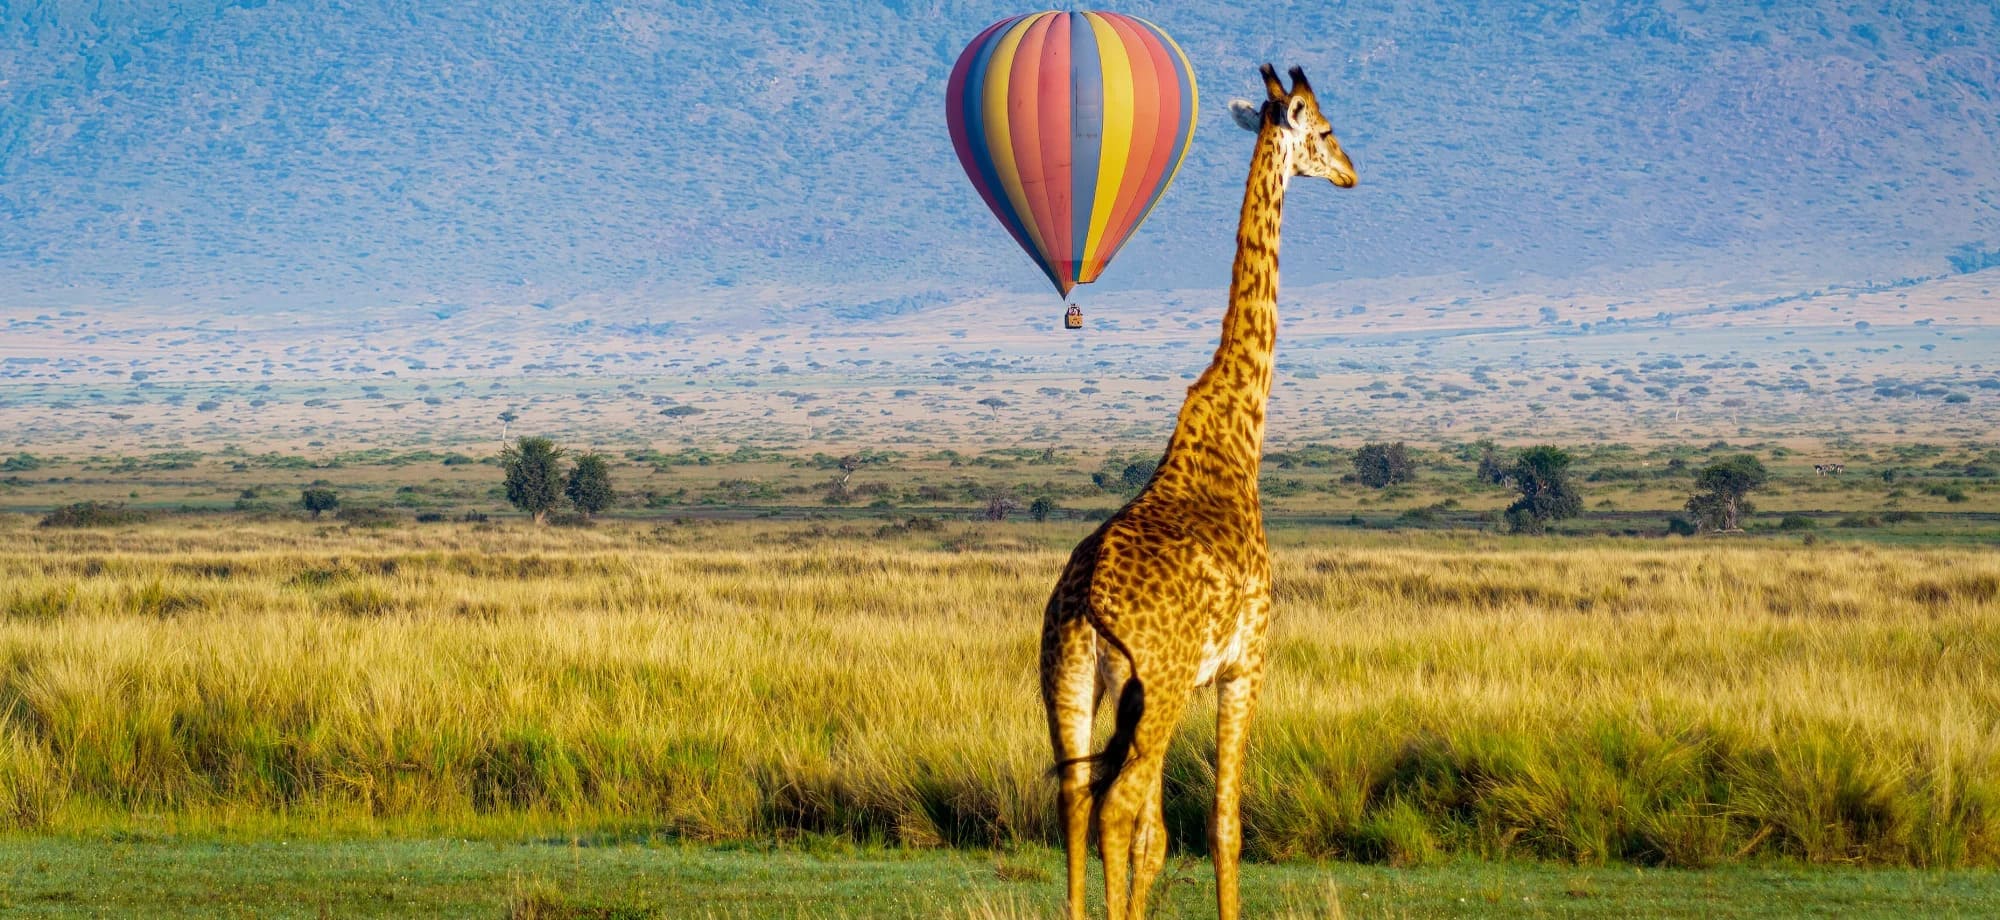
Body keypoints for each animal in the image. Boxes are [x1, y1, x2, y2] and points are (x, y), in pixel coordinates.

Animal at [1048, 64, 1360, 920]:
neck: (1236, 438)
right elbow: (1223, 827)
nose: (1351, 173)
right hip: (1154, 684)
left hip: (1072, 678)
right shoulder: (1245, 663)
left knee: (1077, 802)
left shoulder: (1185, 681)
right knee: (1116, 807)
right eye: (1324, 130)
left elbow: (1158, 840)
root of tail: (1084, 599)